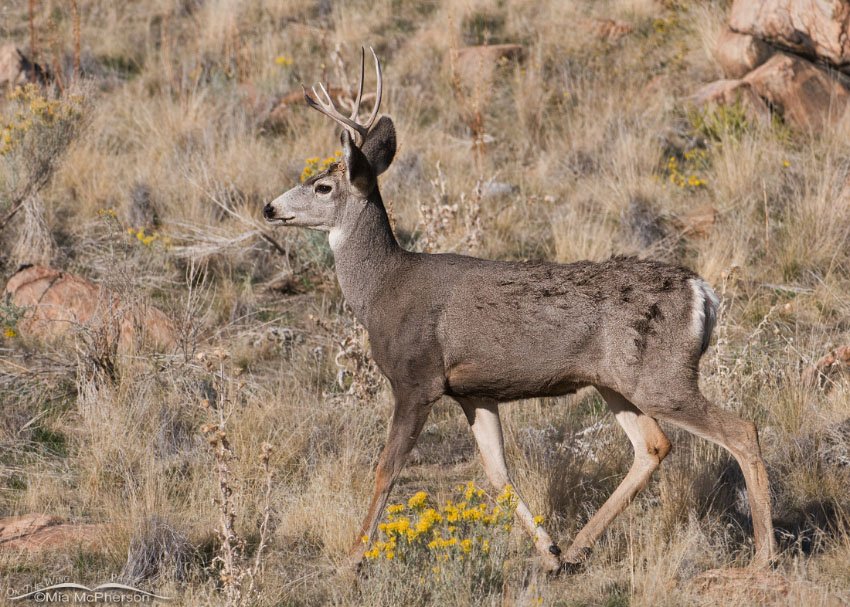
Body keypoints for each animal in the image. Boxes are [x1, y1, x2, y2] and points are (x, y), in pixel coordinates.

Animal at [263, 48, 777, 573]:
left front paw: (353, 557)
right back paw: (575, 549)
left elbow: (387, 468)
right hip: (616, 380)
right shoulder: (474, 391)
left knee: (743, 430)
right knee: (653, 446)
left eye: (323, 186)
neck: (383, 289)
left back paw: (764, 556)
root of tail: (704, 293)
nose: (269, 208)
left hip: (662, 376)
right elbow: (498, 475)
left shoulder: (416, 378)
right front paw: (547, 550)